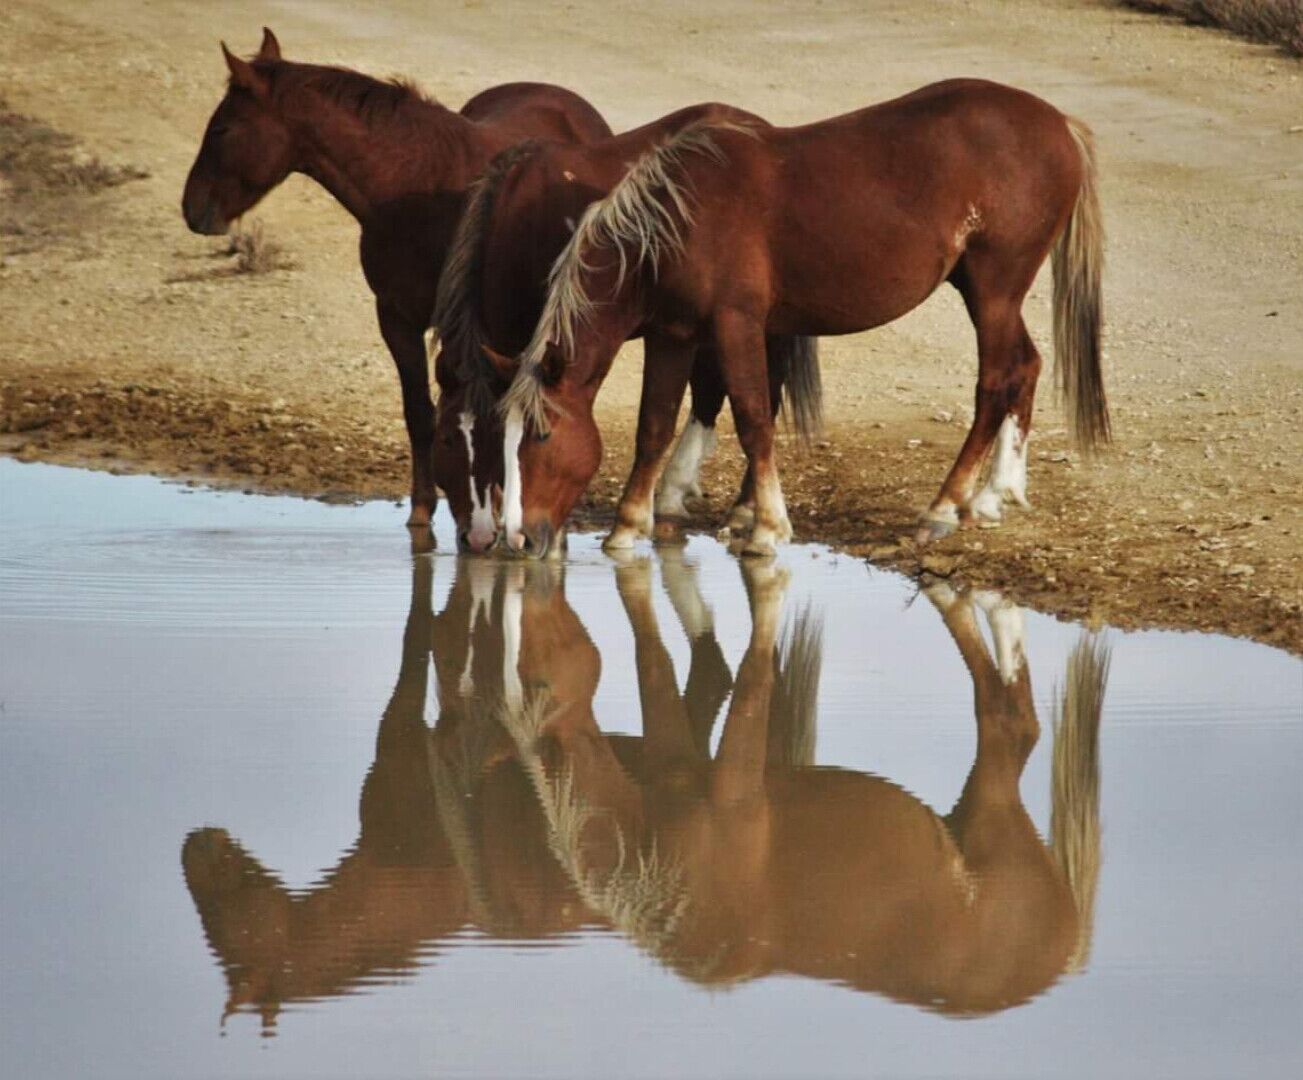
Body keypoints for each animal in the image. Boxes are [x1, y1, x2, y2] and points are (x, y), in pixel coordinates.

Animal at [180, 27, 610, 531]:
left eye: (222, 129)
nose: (192, 209)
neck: (416, 188)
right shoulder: (396, 317)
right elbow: (420, 413)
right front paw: (424, 511)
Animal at [492, 79, 1107, 558]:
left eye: (542, 435)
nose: (520, 539)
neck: (673, 222)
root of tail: (1059, 124)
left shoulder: (736, 324)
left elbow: (753, 418)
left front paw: (766, 528)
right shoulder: (672, 335)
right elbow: (654, 426)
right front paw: (626, 527)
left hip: (993, 290)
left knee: (996, 382)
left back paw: (944, 506)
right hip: (988, 292)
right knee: (1026, 367)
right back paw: (995, 495)